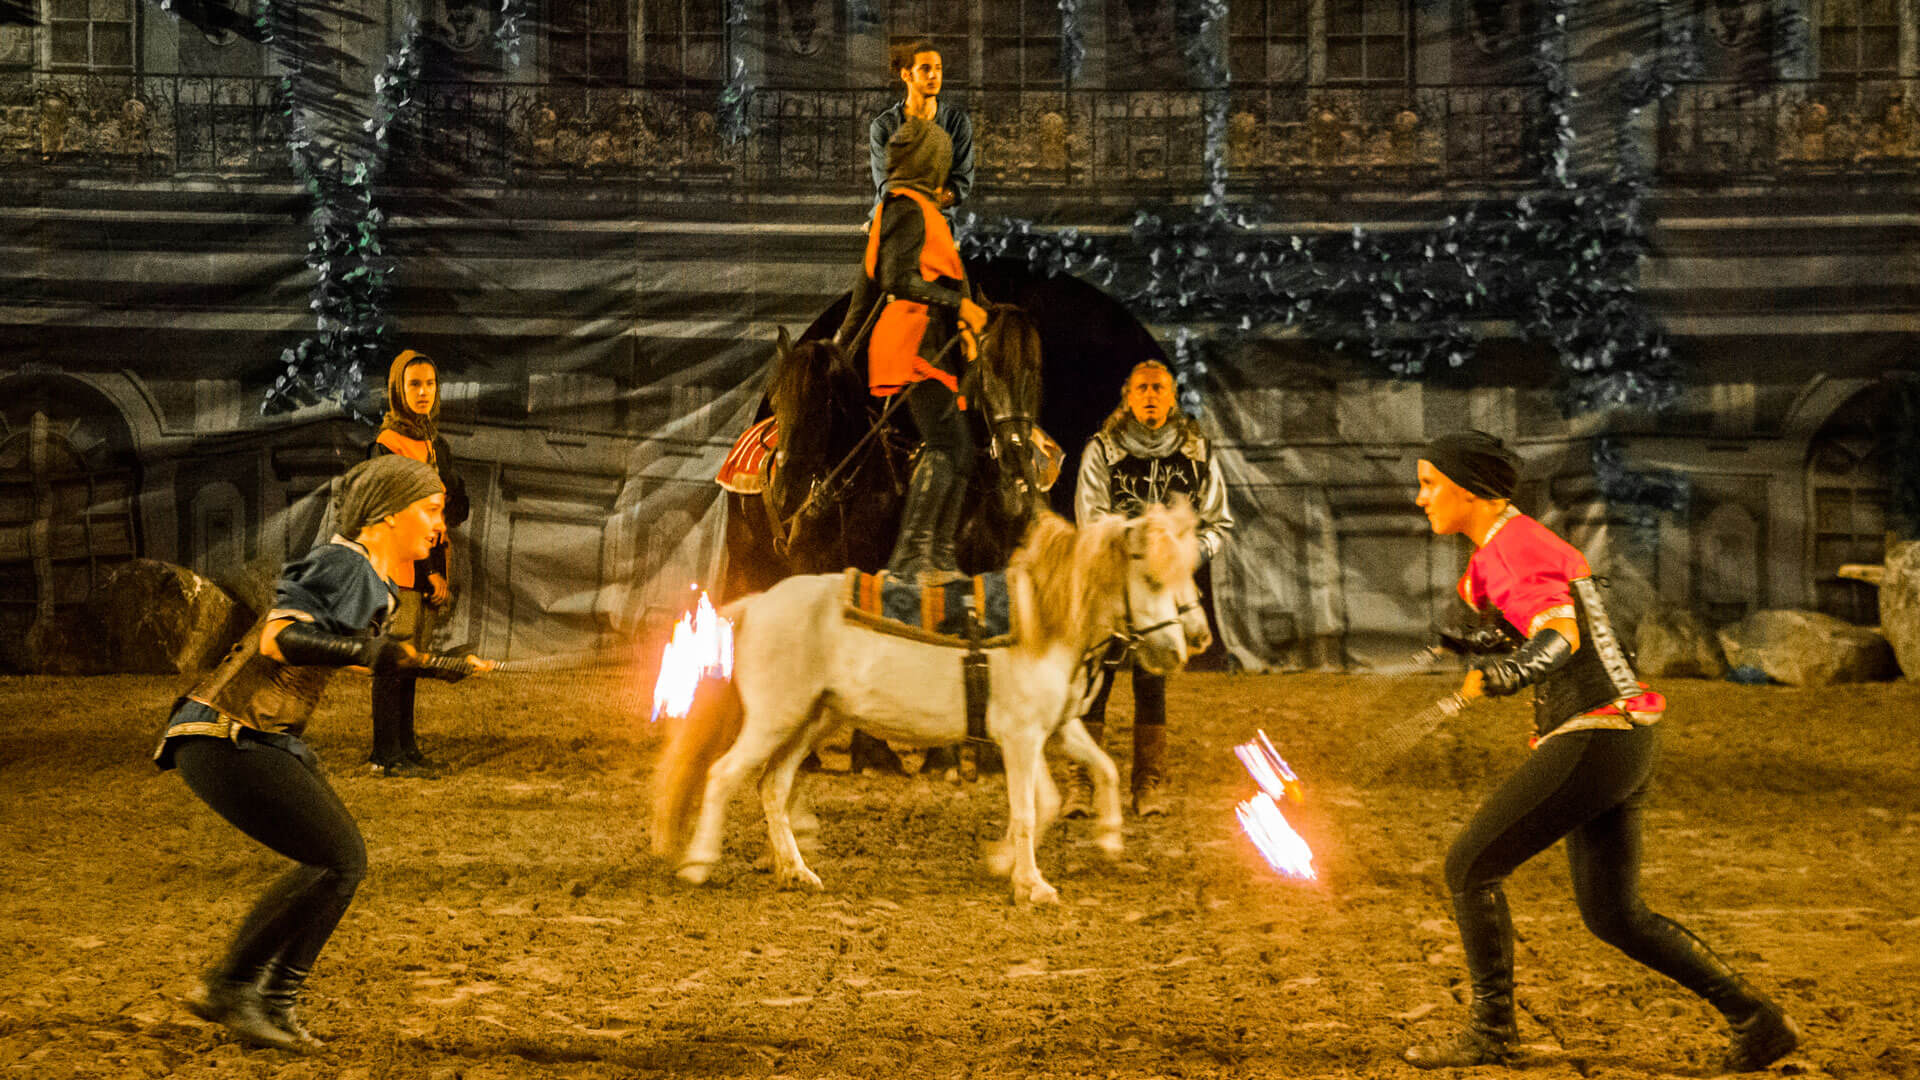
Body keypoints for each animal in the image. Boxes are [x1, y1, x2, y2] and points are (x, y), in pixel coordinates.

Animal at [656, 503, 1198, 899]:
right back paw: (699, 864)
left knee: (772, 786)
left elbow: (1088, 777)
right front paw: (1033, 885)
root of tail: (760, 602)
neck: (1041, 620)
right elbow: (1028, 809)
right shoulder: (1021, 738)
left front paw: (1092, 841)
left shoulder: (1053, 730)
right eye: (1152, 579)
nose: (1177, 652)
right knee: (723, 775)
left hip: (813, 720)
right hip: (774, 719)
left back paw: (797, 872)